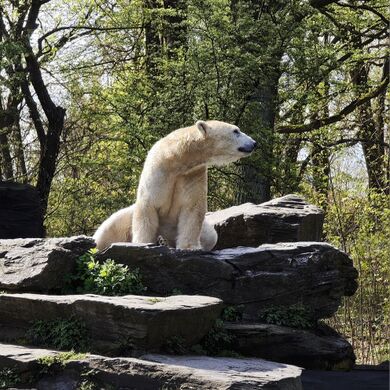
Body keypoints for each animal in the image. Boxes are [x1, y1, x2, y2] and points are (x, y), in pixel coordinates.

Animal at [93, 120, 258, 251]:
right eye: (236, 131)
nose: (254, 143)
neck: (176, 158)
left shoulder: (193, 174)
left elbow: (192, 208)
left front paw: (190, 247)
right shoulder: (159, 171)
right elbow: (148, 206)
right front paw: (143, 243)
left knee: (211, 236)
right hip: (125, 216)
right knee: (108, 229)